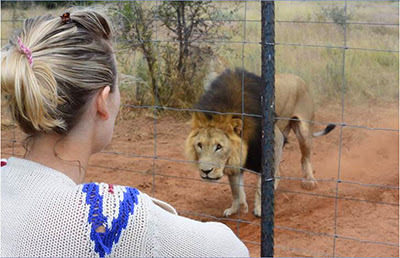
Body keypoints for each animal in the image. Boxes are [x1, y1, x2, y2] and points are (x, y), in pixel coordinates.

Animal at [184, 67, 334, 217]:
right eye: (199, 145)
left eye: (219, 147)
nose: (205, 171)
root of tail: (300, 79)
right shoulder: (235, 157)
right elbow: (235, 188)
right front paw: (236, 208)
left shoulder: (275, 139)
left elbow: (261, 184)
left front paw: (260, 209)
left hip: (303, 130)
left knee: (304, 158)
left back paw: (309, 181)